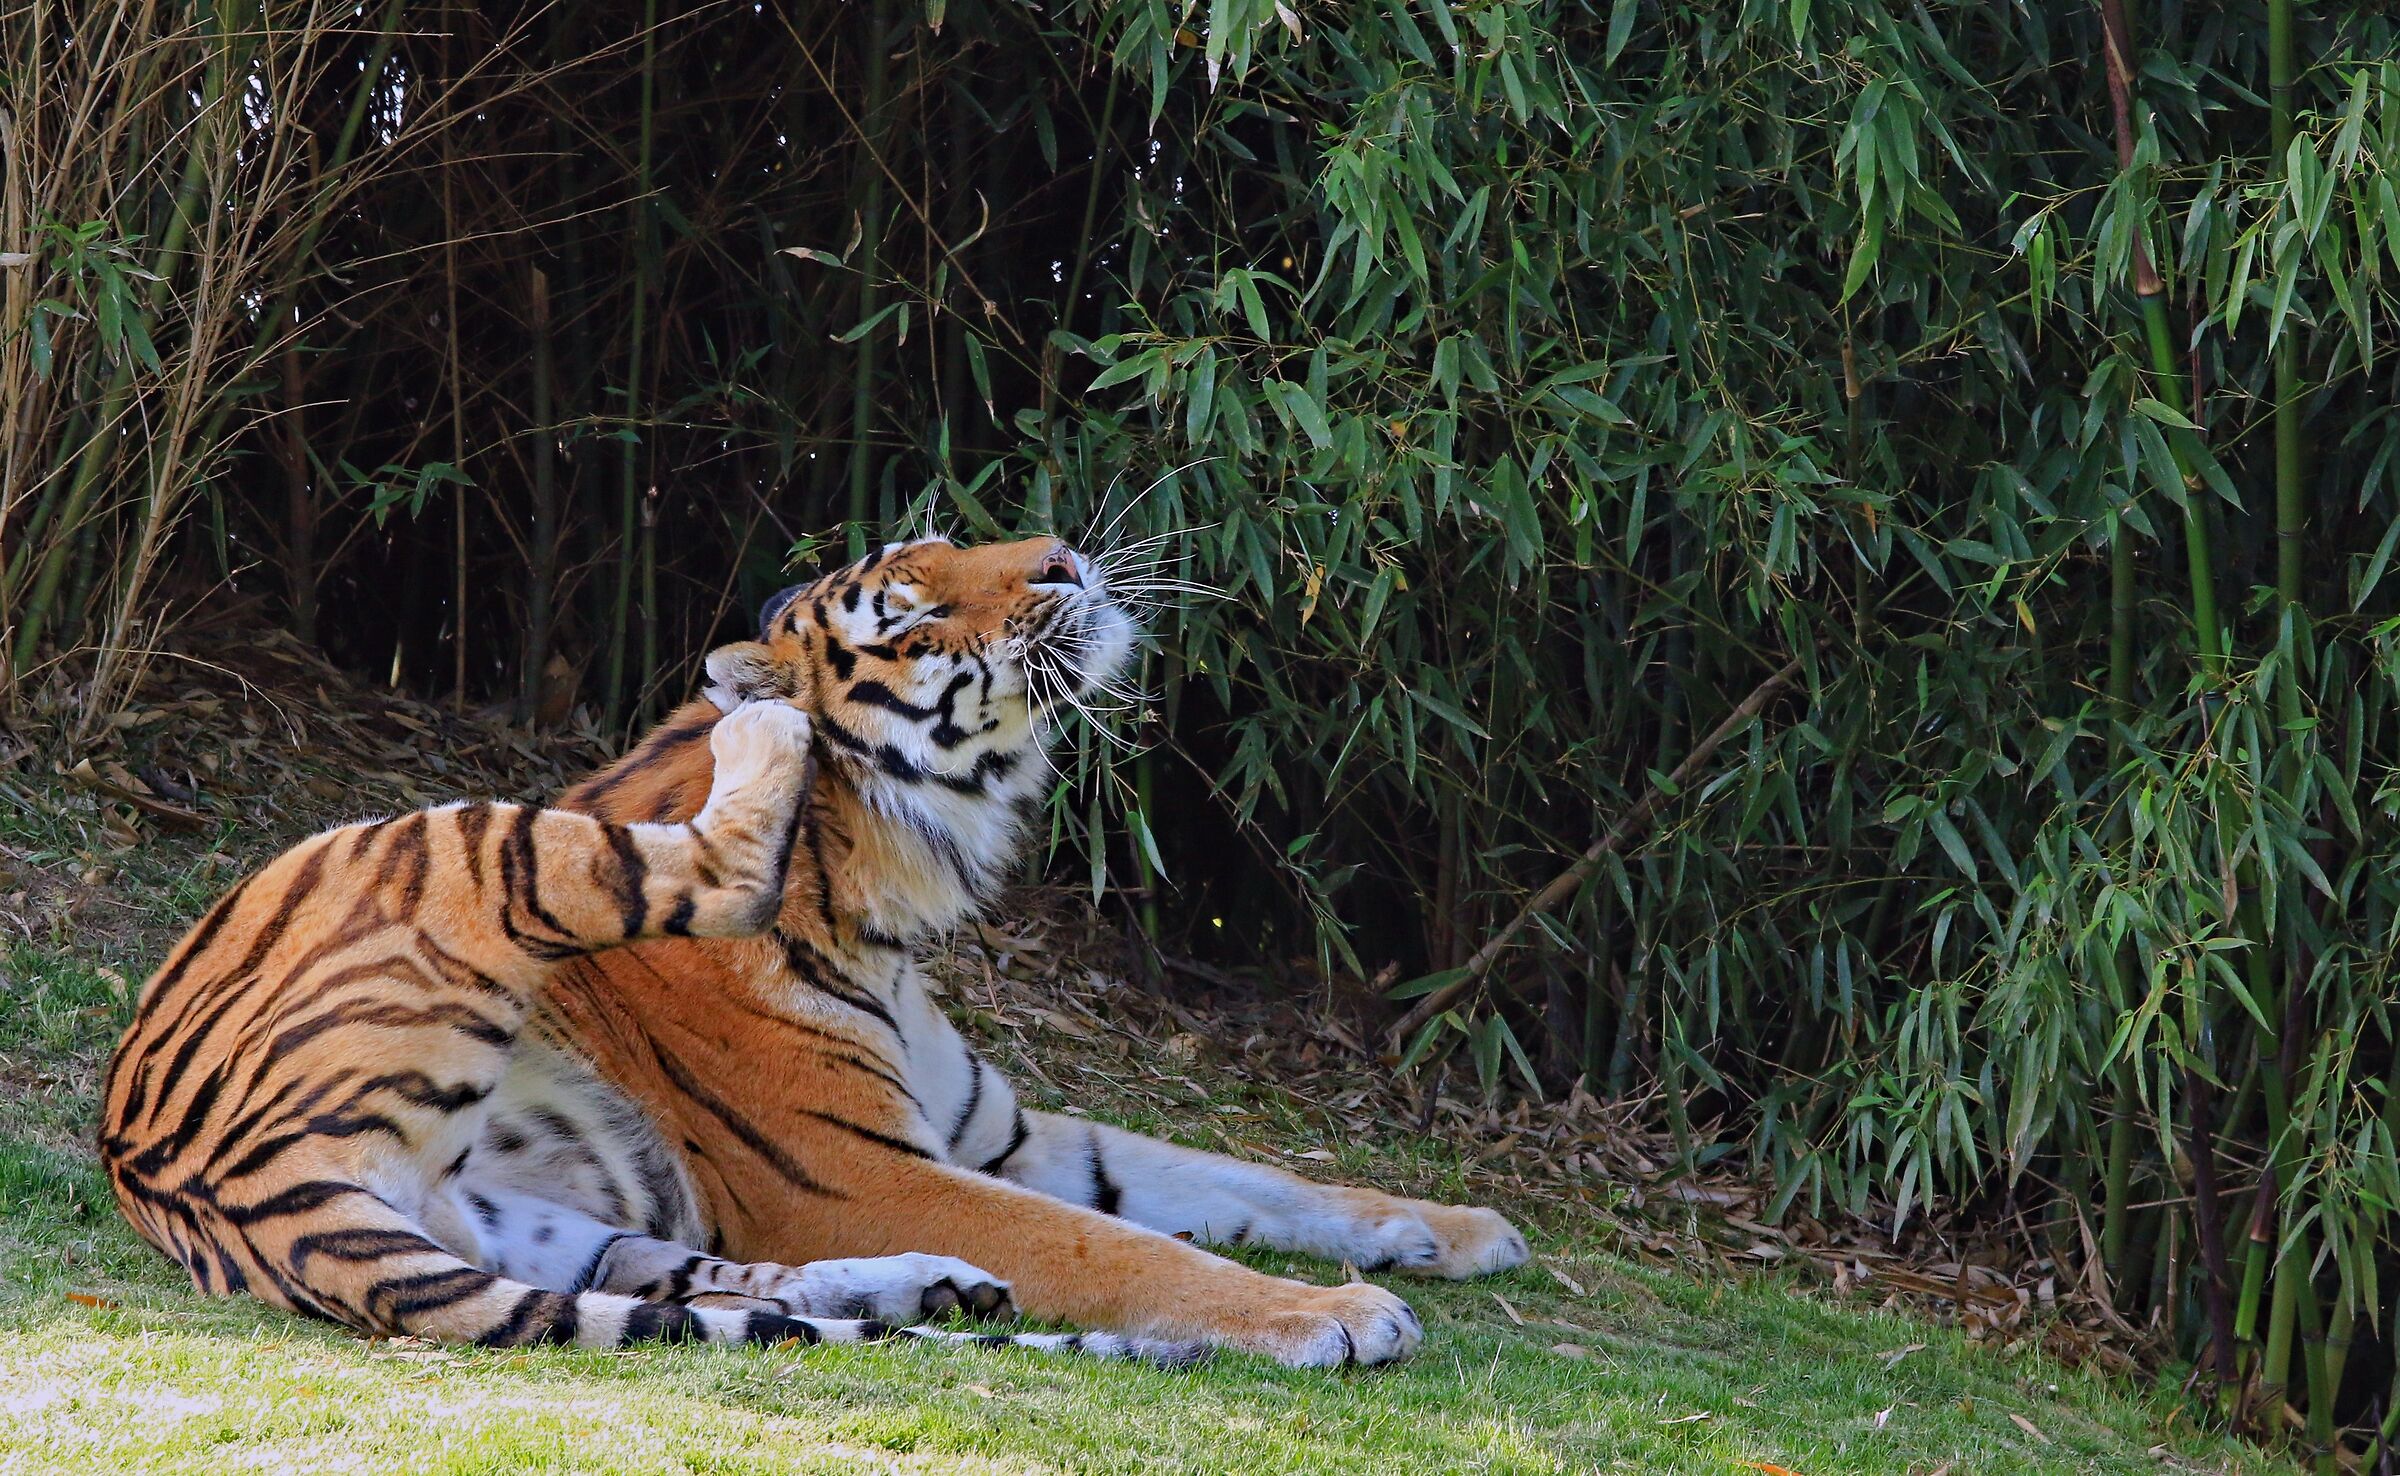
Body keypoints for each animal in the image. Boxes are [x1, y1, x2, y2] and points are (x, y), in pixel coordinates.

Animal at [100, 533, 1528, 1368]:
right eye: (908, 617)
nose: (1066, 559)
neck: (887, 897)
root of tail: (166, 1168)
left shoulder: (999, 1134)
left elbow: (1250, 1178)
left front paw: (1457, 1230)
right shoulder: (856, 1169)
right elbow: (1126, 1250)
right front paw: (1333, 1313)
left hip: (541, 1226)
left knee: (703, 1291)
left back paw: (939, 1294)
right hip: (445, 836)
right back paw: (763, 742)